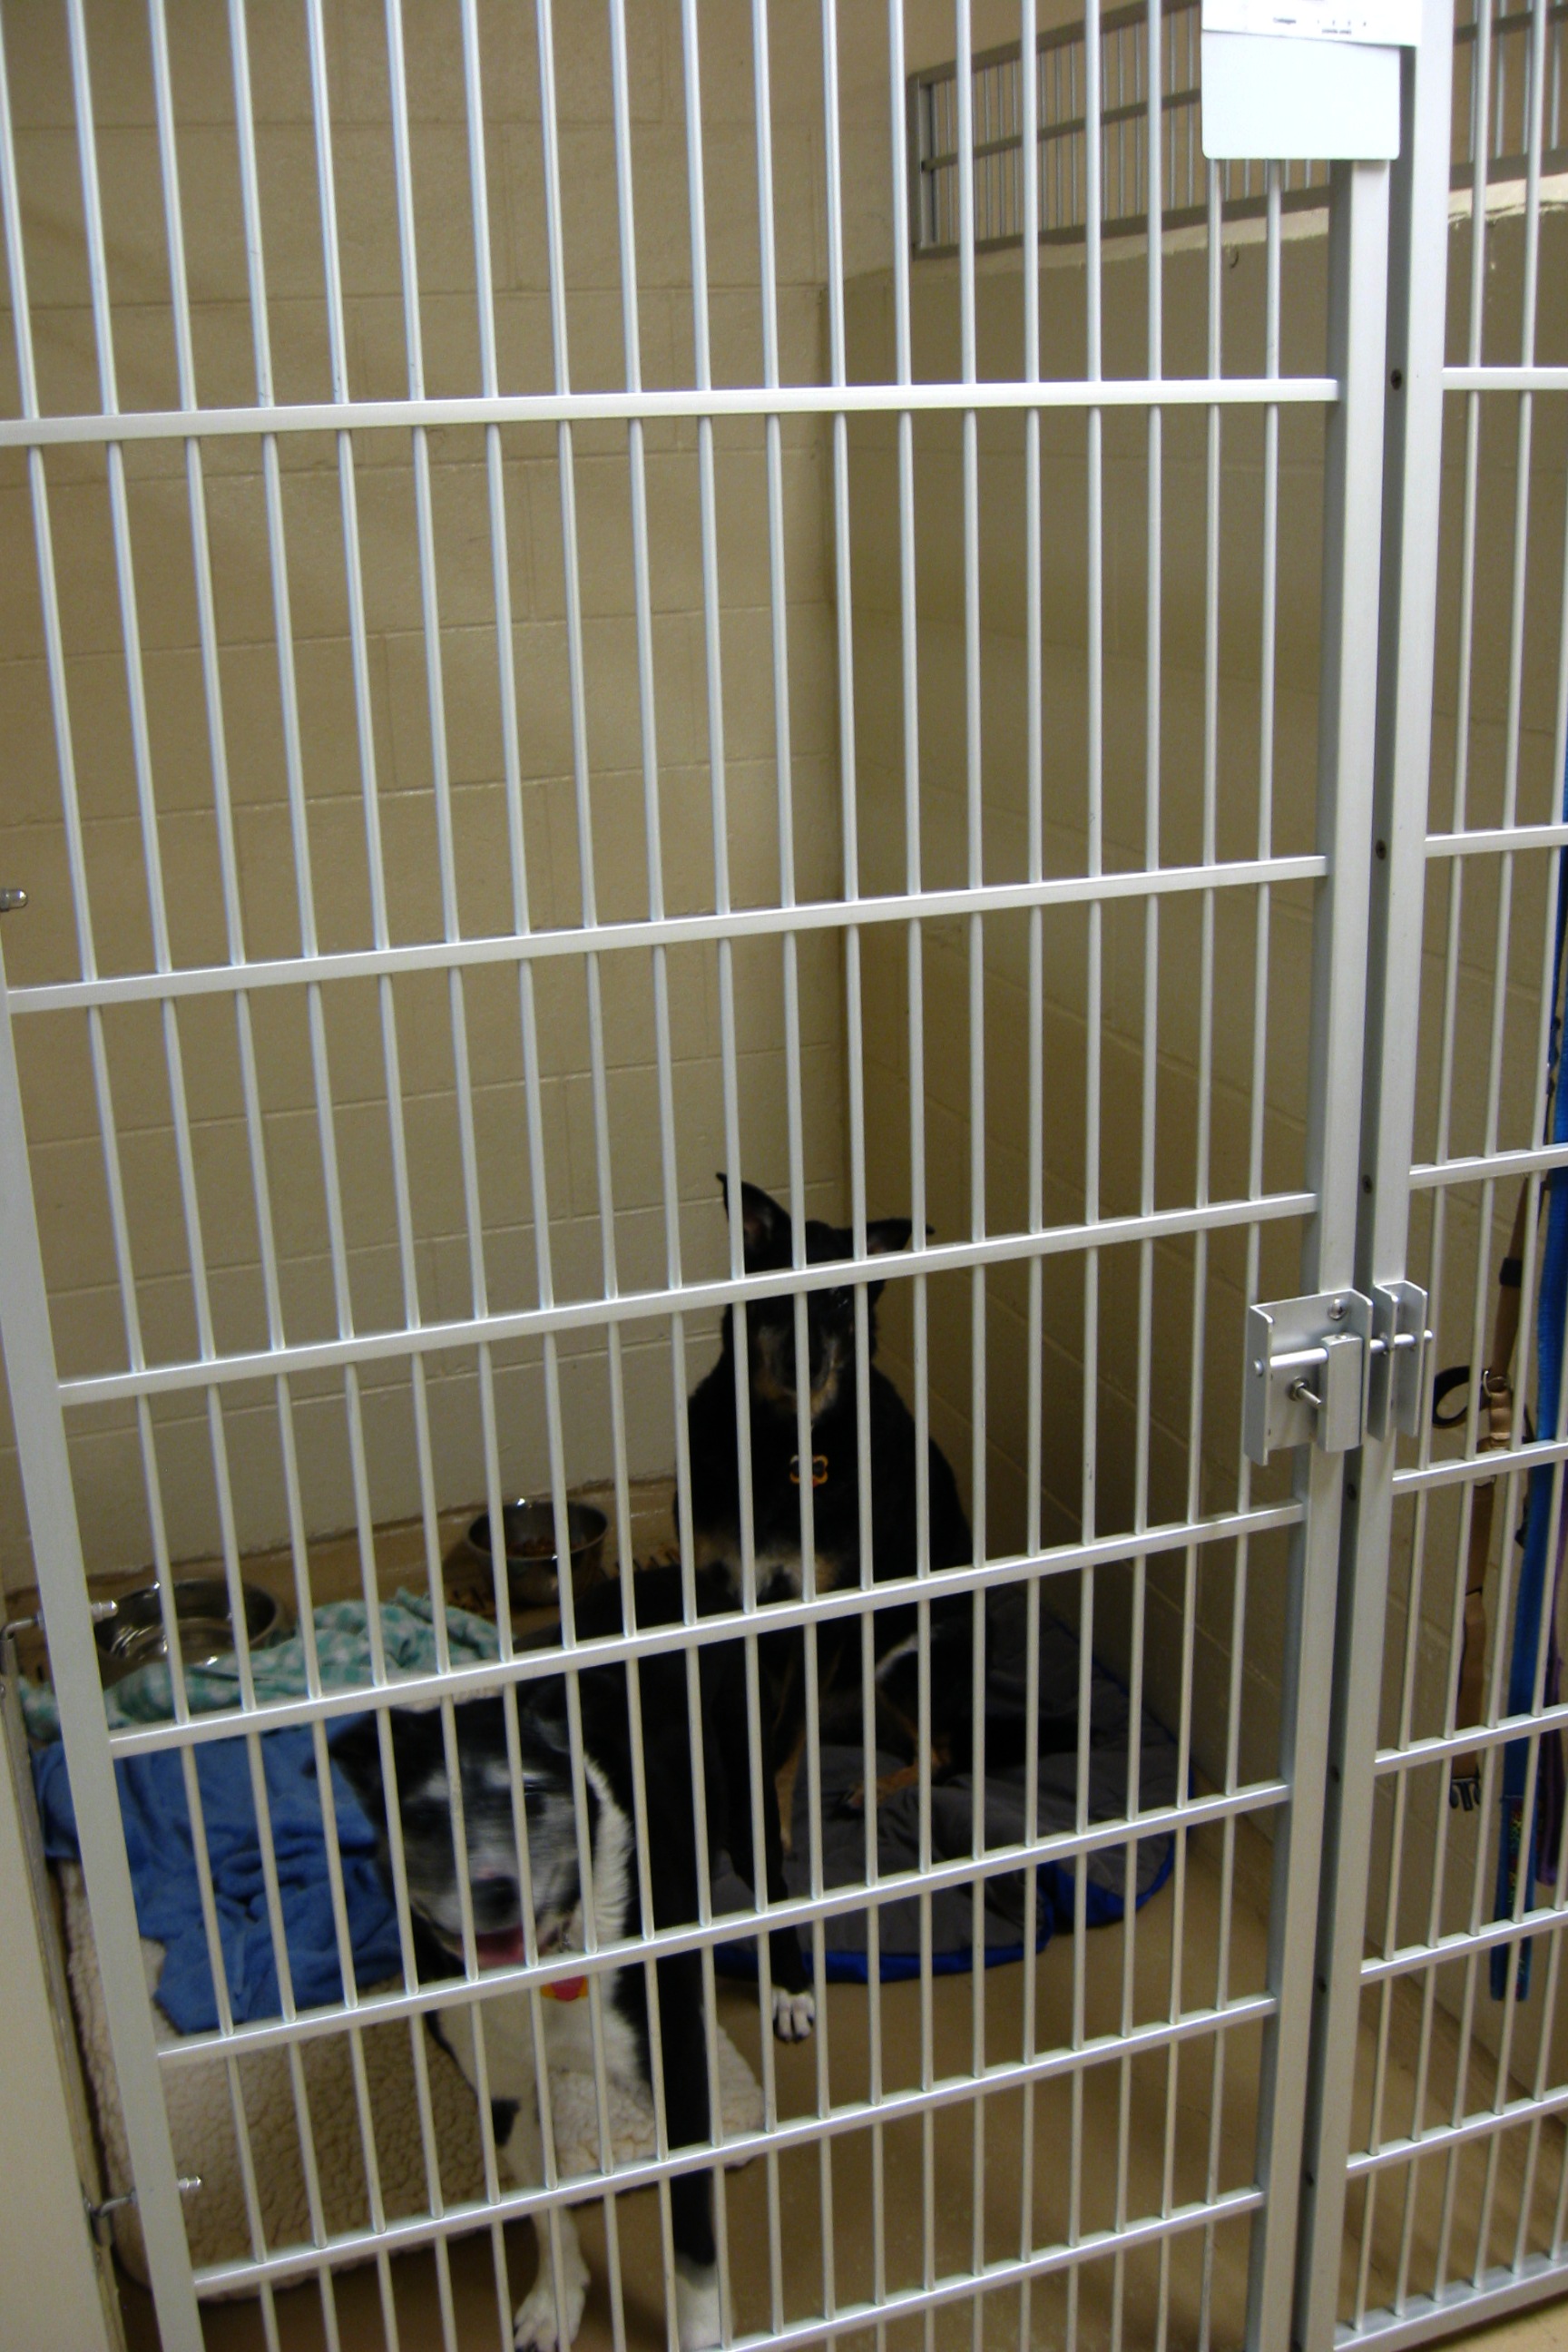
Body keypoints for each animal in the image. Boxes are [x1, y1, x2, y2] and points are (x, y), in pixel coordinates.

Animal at [331, 1565, 811, 2352]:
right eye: (422, 1817)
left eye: (532, 1796)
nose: (493, 1887)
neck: (546, 1964)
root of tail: (688, 1577)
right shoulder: (500, 2088)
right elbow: (542, 2203)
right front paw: (556, 2302)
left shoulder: (677, 2076)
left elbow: (693, 2246)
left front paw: (701, 2332)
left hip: (747, 1794)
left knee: (775, 1884)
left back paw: (792, 1993)